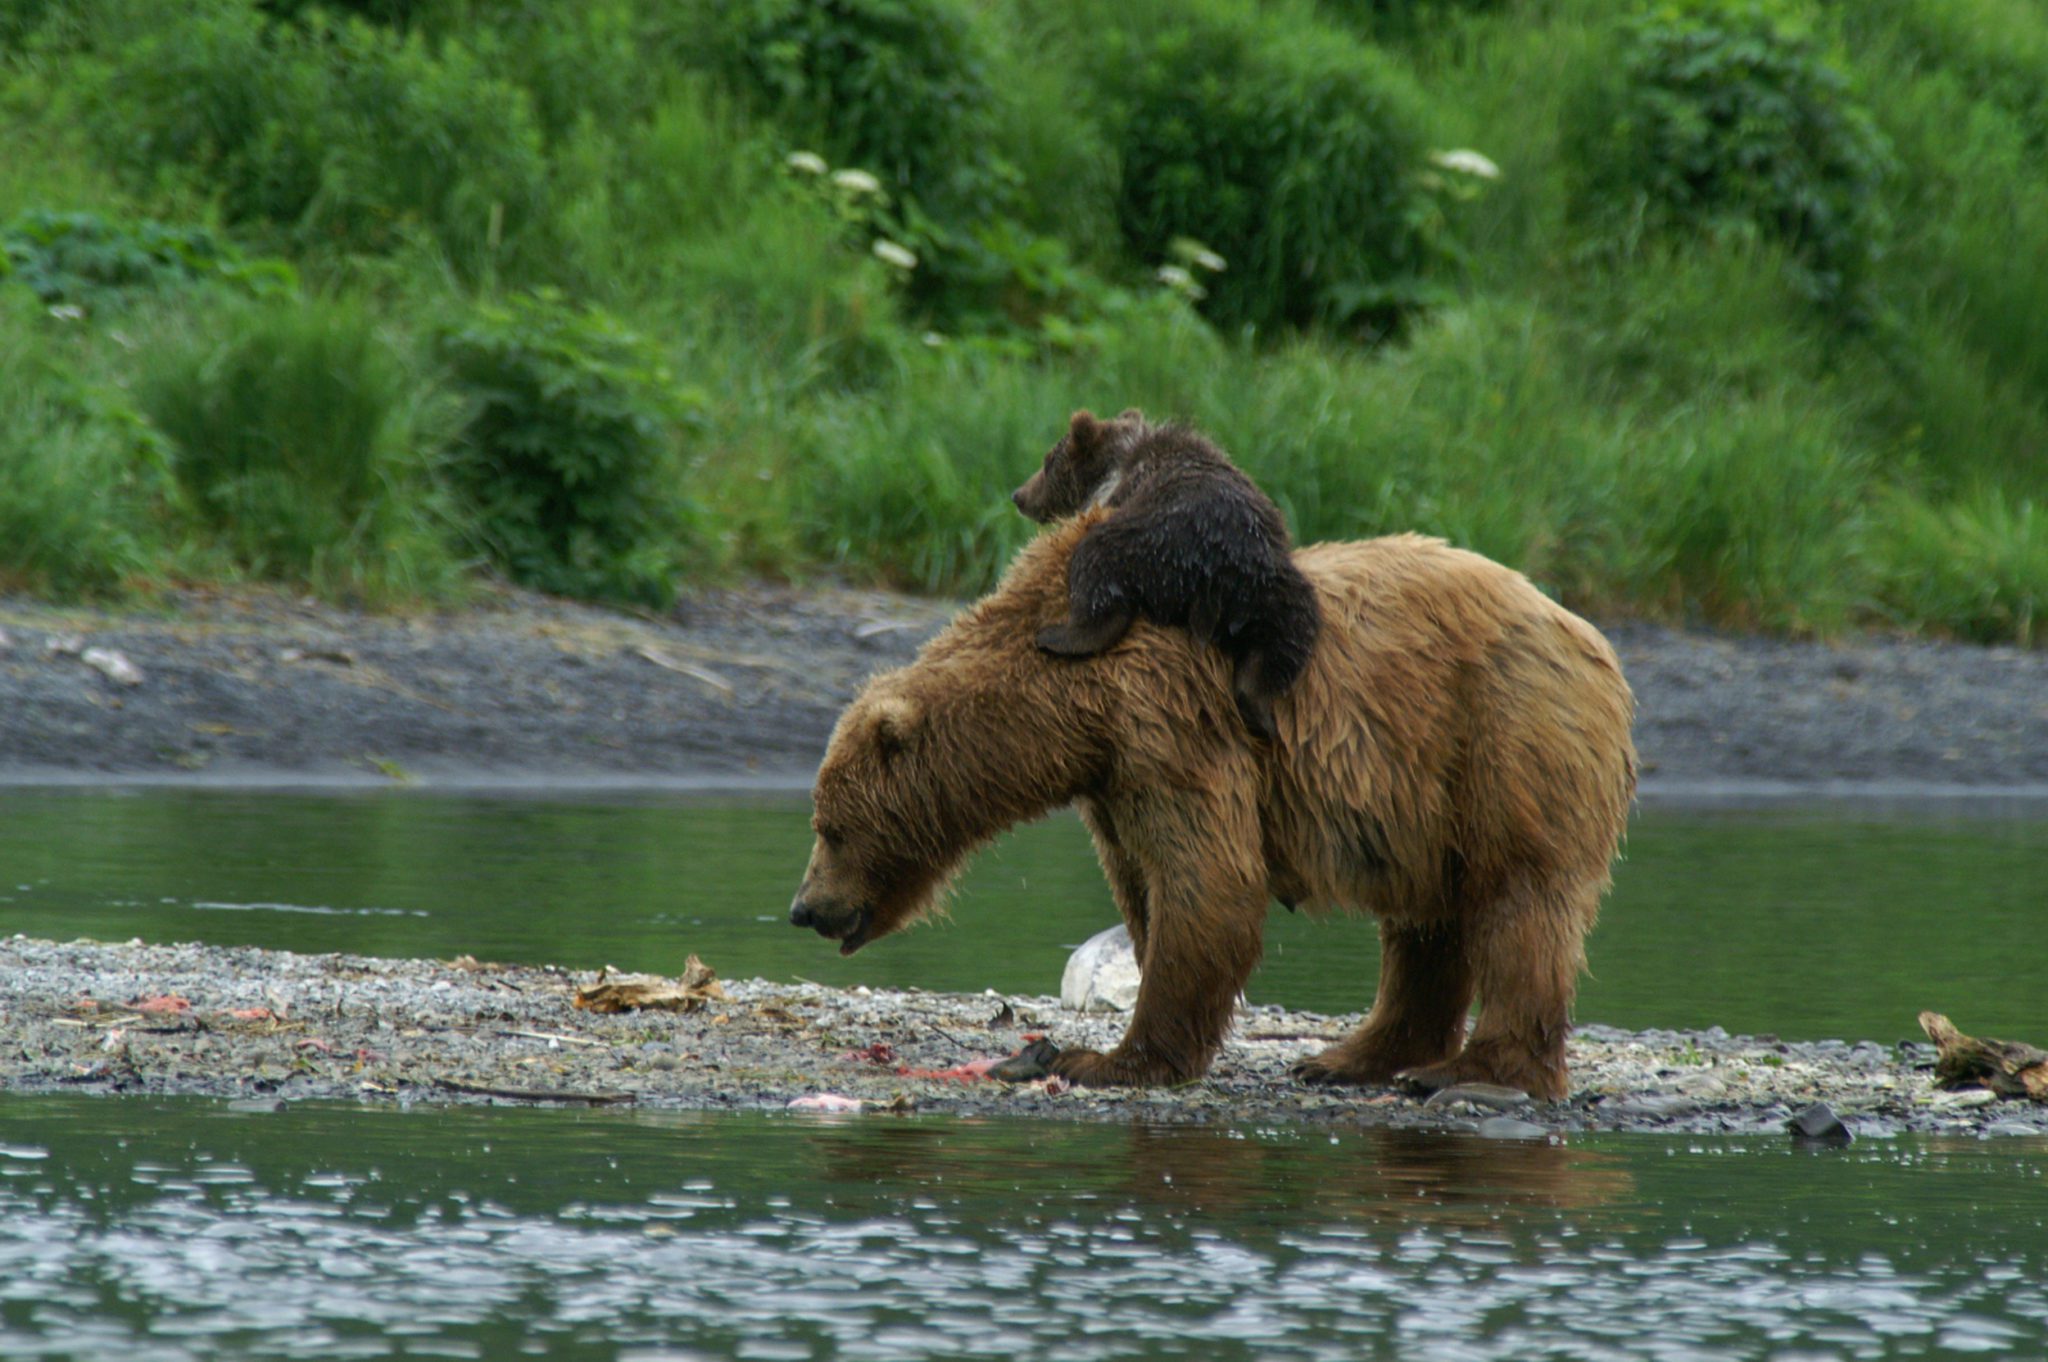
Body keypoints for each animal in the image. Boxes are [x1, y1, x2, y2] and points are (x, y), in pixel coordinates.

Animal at [790, 509, 1638, 1097]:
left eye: (830, 828)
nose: (804, 908)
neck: (1068, 710)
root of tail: (1587, 634)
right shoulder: (1114, 782)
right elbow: (1145, 889)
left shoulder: (1171, 724)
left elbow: (1208, 883)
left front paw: (1109, 1058)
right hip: (1428, 797)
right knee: (1428, 927)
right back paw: (1350, 1058)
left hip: (1505, 737)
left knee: (1520, 903)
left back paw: (1470, 1071)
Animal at [1011, 405, 1327, 737]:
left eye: (1048, 462)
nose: (1018, 495)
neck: (1114, 463)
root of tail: (1215, 572)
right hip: (1272, 586)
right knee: (1288, 635)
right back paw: (1259, 710)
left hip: (1147, 538)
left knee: (1097, 568)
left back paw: (1055, 636)